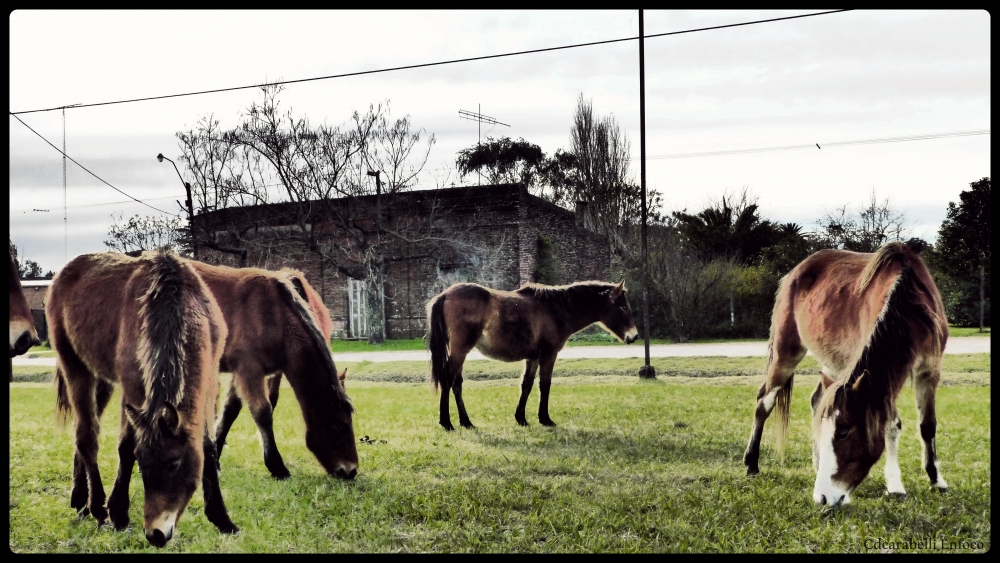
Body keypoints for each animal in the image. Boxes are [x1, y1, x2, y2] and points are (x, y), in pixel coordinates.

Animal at [50, 251, 238, 548]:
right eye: (142, 463)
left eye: (174, 464)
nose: (155, 534)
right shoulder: (133, 389)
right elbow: (126, 447)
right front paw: (118, 514)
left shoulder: (210, 385)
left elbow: (208, 447)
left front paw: (223, 519)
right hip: (76, 369)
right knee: (87, 435)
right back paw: (96, 507)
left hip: (102, 380)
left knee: (83, 432)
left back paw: (79, 500)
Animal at [188, 262, 360, 480]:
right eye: (339, 427)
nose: (351, 470)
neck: (275, 314)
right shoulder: (249, 370)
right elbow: (263, 413)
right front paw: (277, 466)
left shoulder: (242, 372)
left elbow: (230, 411)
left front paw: (216, 459)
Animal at [426, 282, 636, 432]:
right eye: (624, 308)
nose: (634, 336)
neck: (556, 309)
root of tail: (445, 295)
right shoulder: (548, 355)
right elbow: (545, 385)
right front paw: (545, 419)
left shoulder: (533, 358)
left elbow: (526, 385)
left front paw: (521, 418)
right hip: (460, 350)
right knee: (448, 380)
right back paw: (446, 422)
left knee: (457, 384)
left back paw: (466, 422)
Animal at [744, 242, 952, 506]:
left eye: (843, 433)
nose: (822, 497)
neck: (910, 306)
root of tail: (794, 274)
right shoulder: (881, 382)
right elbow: (890, 424)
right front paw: (895, 486)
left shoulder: (929, 371)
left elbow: (927, 425)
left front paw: (936, 479)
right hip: (786, 352)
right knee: (764, 401)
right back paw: (751, 463)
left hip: (834, 363)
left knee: (817, 398)